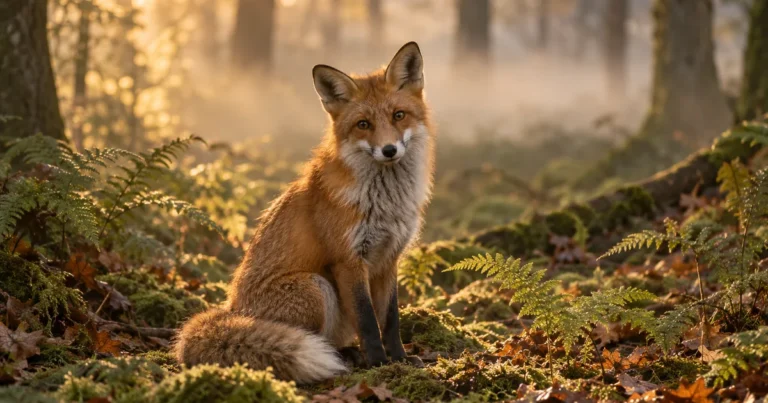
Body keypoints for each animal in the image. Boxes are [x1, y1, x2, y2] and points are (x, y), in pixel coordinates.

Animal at [173, 42, 435, 383]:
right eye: (363, 124)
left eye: (398, 115)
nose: (389, 150)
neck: (385, 202)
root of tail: (232, 308)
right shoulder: (348, 260)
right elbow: (368, 321)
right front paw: (379, 363)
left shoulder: (389, 259)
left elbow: (390, 320)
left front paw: (400, 360)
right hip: (316, 287)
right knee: (311, 338)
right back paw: (342, 358)